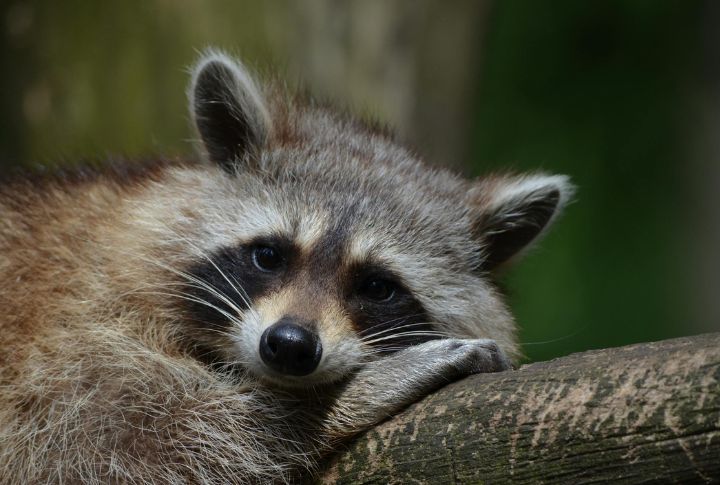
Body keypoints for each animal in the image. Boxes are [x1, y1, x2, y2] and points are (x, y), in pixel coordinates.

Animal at [0, 51, 572, 484]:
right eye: (269, 255)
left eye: (377, 286)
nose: (290, 345)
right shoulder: (69, 340)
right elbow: (125, 442)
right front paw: (346, 398)